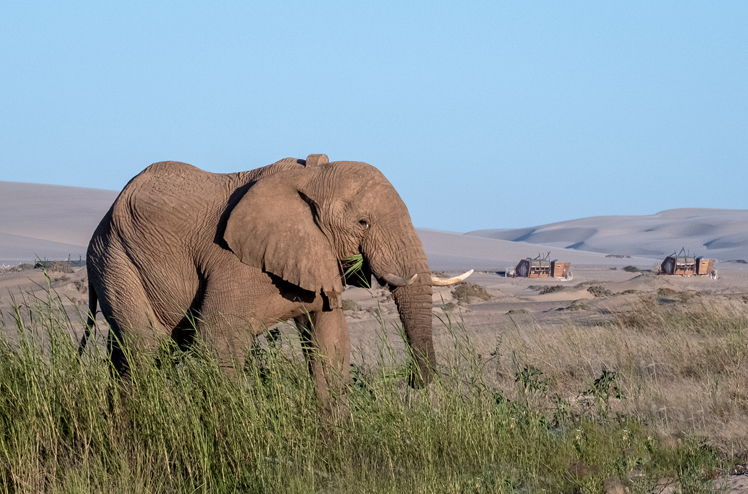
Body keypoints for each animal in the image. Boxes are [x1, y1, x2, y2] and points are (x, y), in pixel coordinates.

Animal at [83, 154, 472, 403]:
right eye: (363, 223)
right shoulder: (234, 262)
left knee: (130, 353)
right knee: (143, 348)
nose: (410, 380)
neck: (310, 179)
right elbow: (220, 339)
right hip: (116, 259)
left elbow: (330, 346)